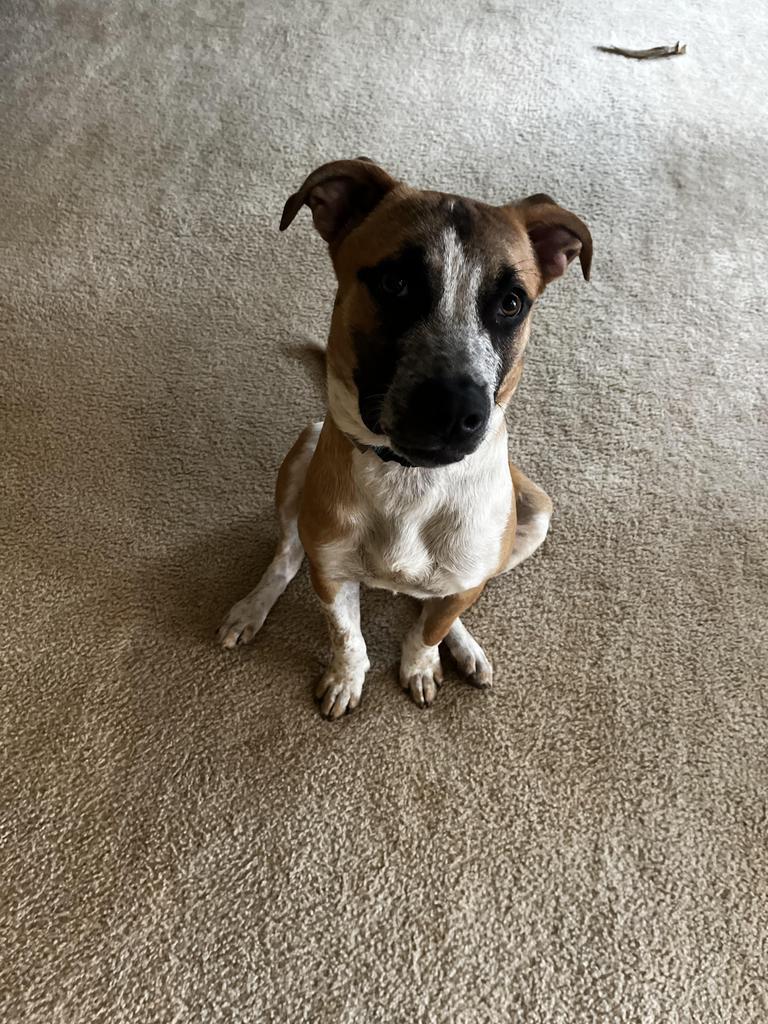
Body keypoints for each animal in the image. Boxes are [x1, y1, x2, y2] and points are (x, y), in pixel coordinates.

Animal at [219, 157, 593, 720]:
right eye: (395, 282)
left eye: (511, 304)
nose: (456, 409)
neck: (409, 482)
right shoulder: (332, 573)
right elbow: (347, 637)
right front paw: (346, 678)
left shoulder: (466, 577)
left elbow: (429, 629)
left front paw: (421, 663)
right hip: (302, 455)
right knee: (285, 558)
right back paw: (249, 609)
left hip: (535, 514)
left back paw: (463, 646)